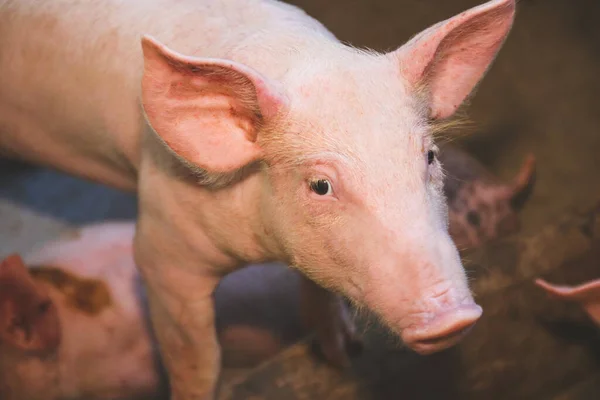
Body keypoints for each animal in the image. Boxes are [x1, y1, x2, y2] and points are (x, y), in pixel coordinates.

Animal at [0, 0, 516, 396]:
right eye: (320, 185)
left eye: (429, 156)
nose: (454, 316)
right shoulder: (161, 246)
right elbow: (196, 359)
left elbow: (318, 292)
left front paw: (344, 355)